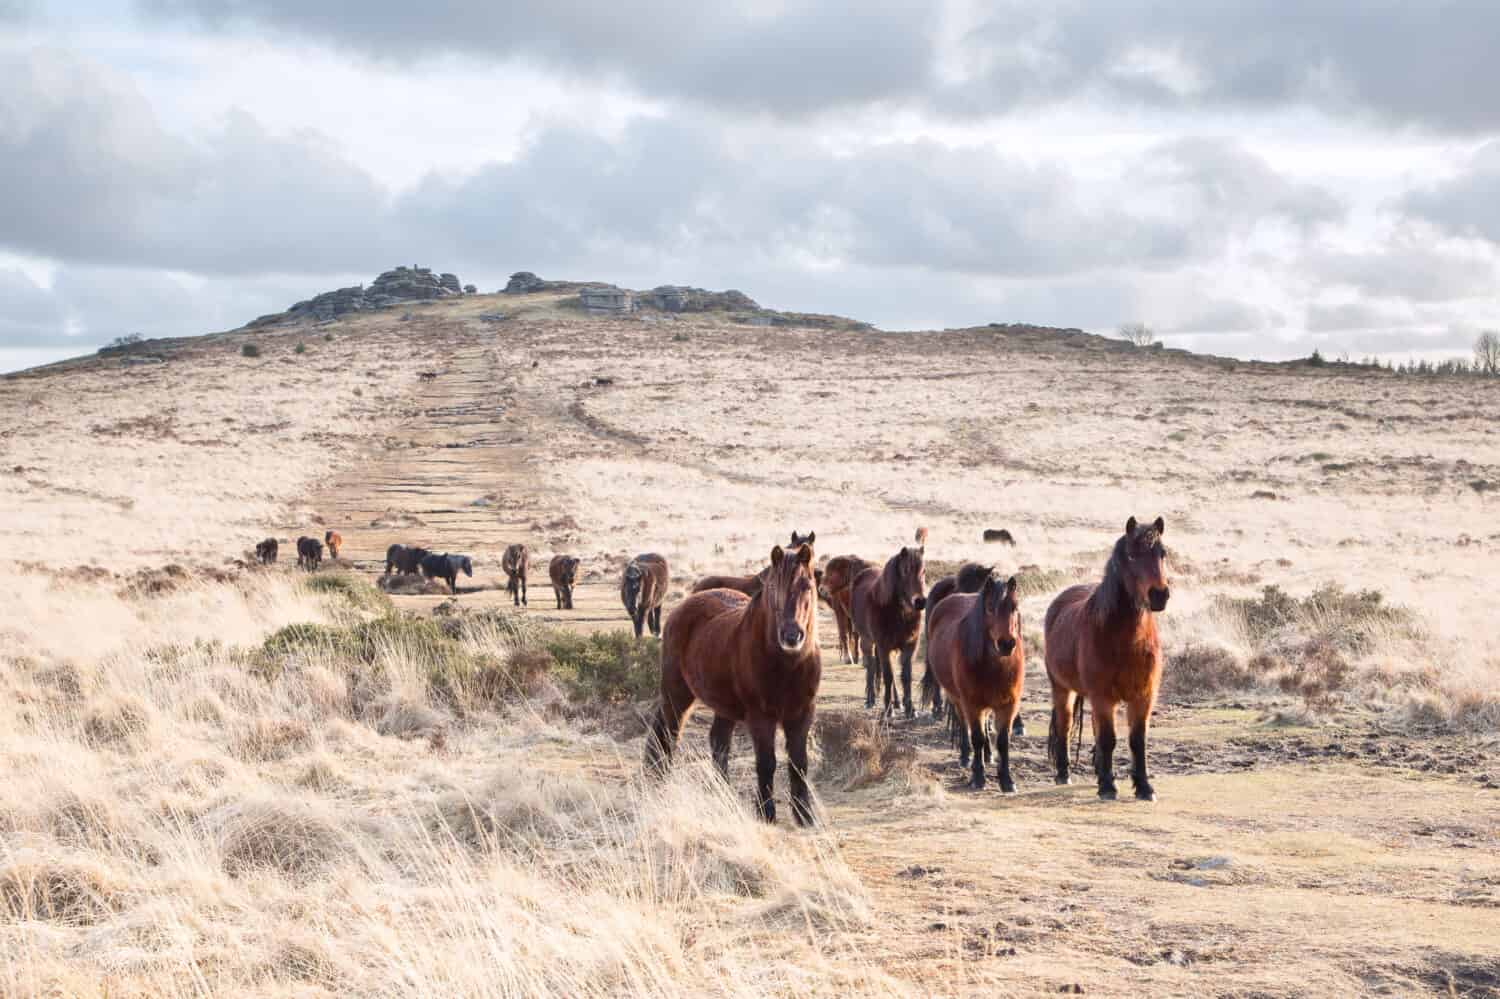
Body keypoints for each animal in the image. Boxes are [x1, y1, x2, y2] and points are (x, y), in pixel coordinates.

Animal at [648, 537, 828, 822]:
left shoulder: (802, 714)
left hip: (724, 706)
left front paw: (805, 817)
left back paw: (723, 793)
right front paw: (766, 813)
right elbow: (766, 763)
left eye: (807, 586)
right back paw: (663, 783)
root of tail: (685, 604)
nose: (791, 635)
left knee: (718, 742)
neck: (788, 665)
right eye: (773, 587)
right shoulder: (761, 717)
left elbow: (799, 764)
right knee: (669, 735)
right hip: (677, 694)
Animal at [858, 528, 924, 717]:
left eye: (923, 571)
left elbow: (905, 676)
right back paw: (871, 699)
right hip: (866, 641)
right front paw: (887, 710)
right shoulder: (883, 645)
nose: (919, 602)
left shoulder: (909, 646)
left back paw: (897, 703)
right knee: (871, 665)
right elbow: (887, 676)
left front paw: (910, 709)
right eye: (905, 570)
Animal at [1044, 516, 1170, 798]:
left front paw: (1143, 787)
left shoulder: (1143, 697)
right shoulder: (1103, 697)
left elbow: (1137, 741)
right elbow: (1108, 739)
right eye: (1132, 555)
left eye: (1162, 553)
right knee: (1065, 726)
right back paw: (1064, 774)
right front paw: (1108, 787)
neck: (1126, 641)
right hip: (1062, 689)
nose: (1159, 595)